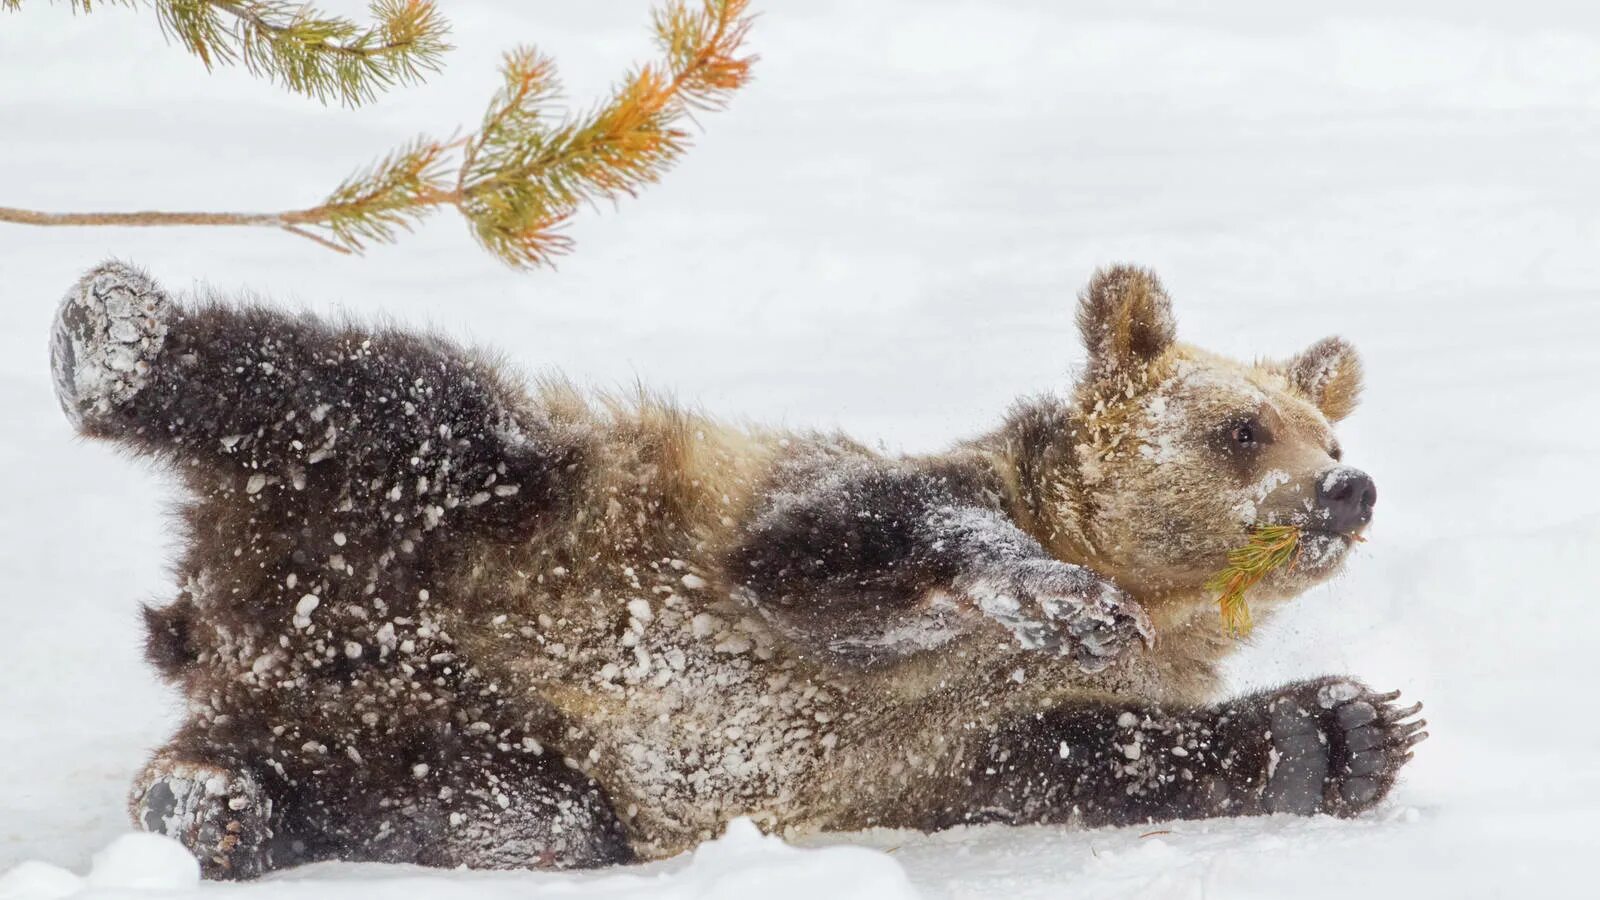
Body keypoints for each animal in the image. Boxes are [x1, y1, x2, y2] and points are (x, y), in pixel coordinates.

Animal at [50, 259, 1427, 877]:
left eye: (1328, 431)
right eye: (1240, 426)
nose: (1346, 488)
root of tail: (229, 622)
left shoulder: (964, 747)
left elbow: (1098, 755)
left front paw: (1348, 728)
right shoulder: (788, 521)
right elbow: (842, 550)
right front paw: (1051, 593)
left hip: (456, 740)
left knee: (506, 811)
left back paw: (213, 806)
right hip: (472, 499)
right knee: (381, 393)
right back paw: (117, 337)